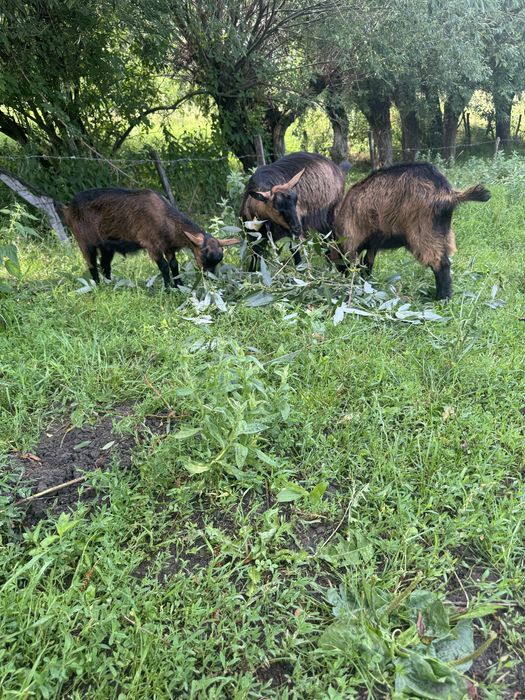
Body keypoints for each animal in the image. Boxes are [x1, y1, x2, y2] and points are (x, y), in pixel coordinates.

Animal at [57, 188, 240, 287]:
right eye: (203, 257)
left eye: (219, 260)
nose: (212, 280)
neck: (164, 218)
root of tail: (68, 207)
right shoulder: (152, 245)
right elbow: (164, 266)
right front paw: (169, 288)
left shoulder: (168, 246)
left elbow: (174, 264)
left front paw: (179, 285)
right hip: (84, 241)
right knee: (92, 265)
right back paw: (97, 286)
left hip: (107, 245)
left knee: (105, 265)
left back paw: (110, 283)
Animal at [331, 162, 491, 299]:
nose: (339, 273)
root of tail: (447, 193)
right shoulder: (373, 243)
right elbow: (367, 263)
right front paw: (367, 282)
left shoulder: (352, 239)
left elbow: (354, 264)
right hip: (443, 232)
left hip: (422, 232)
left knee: (440, 262)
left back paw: (442, 298)